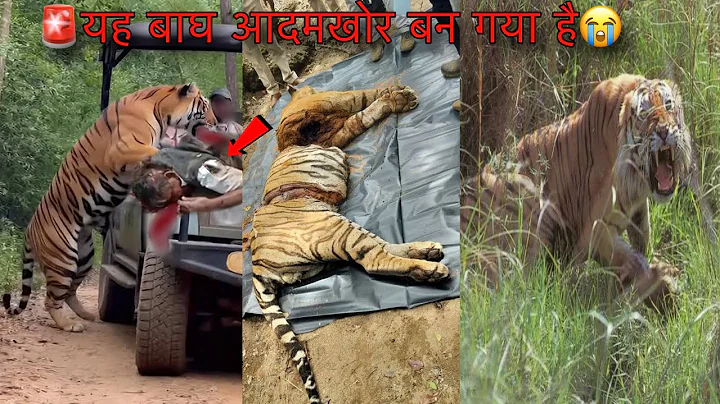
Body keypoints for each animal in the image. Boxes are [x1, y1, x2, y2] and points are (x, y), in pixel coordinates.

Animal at [2, 83, 216, 332]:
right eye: (205, 105)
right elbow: (159, 153)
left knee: (69, 292)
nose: (215, 122)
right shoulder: (124, 147)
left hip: (84, 257)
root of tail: (28, 230)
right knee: (51, 299)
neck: (161, 109)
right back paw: (69, 325)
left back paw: (86, 315)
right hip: (63, 257)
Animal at [226, 85, 451, 403]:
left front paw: (395, 96)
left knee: (383, 249)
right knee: (376, 260)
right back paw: (431, 269)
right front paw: (399, 96)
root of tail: (256, 264)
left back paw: (427, 251)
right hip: (336, 231)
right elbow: (362, 102)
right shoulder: (332, 111)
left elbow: (358, 116)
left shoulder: (334, 135)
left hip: (337, 239)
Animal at [464, 74, 691, 312]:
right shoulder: (596, 229)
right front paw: (664, 284)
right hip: (527, 201)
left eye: (668, 105)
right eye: (644, 113)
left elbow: (642, 243)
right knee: (523, 286)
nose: (664, 132)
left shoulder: (638, 210)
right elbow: (634, 260)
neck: (637, 177)